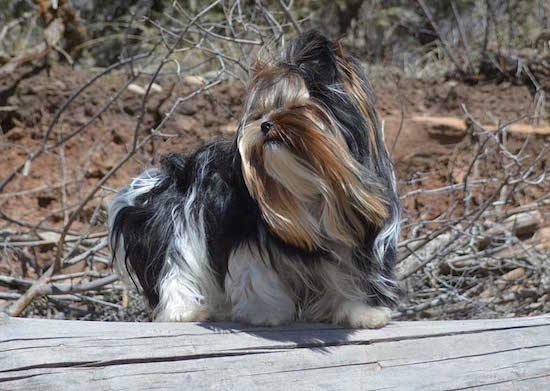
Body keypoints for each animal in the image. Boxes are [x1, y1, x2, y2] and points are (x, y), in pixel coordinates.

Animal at [108, 30, 402, 330]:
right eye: (260, 113)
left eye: (298, 108)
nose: (265, 125)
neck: (309, 183)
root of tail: (167, 175)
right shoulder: (247, 235)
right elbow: (258, 274)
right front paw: (266, 314)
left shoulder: (359, 238)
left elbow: (352, 275)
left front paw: (363, 313)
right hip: (179, 224)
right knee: (175, 265)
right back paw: (185, 311)